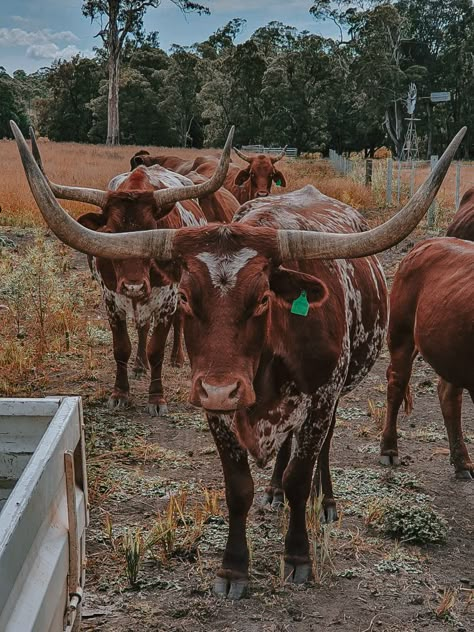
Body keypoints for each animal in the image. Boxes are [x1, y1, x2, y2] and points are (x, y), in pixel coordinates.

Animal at [28, 127, 233, 414]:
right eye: (111, 232)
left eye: (153, 229)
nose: (133, 285)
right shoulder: (111, 300)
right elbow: (121, 348)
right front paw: (120, 393)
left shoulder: (167, 300)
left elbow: (157, 348)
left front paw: (156, 398)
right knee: (142, 326)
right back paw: (139, 365)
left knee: (177, 321)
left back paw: (176, 358)